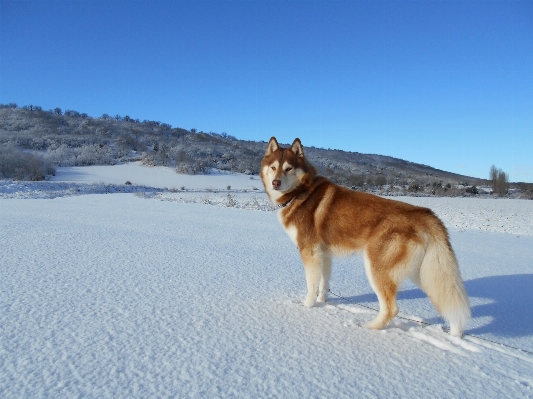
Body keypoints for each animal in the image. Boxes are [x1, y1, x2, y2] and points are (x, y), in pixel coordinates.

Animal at [260, 138, 468, 338]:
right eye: (274, 167)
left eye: (288, 168)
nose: (276, 183)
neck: (301, 192)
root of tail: (424, 213)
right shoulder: (324, 254)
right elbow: (323, 283)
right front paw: (322, 303)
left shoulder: (309, 252)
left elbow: (311, 285)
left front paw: (307, 307)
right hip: (424, 273)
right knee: (447, 298)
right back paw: (456, 333)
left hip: (377, 268)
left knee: (391, 308)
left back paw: (369, 328)